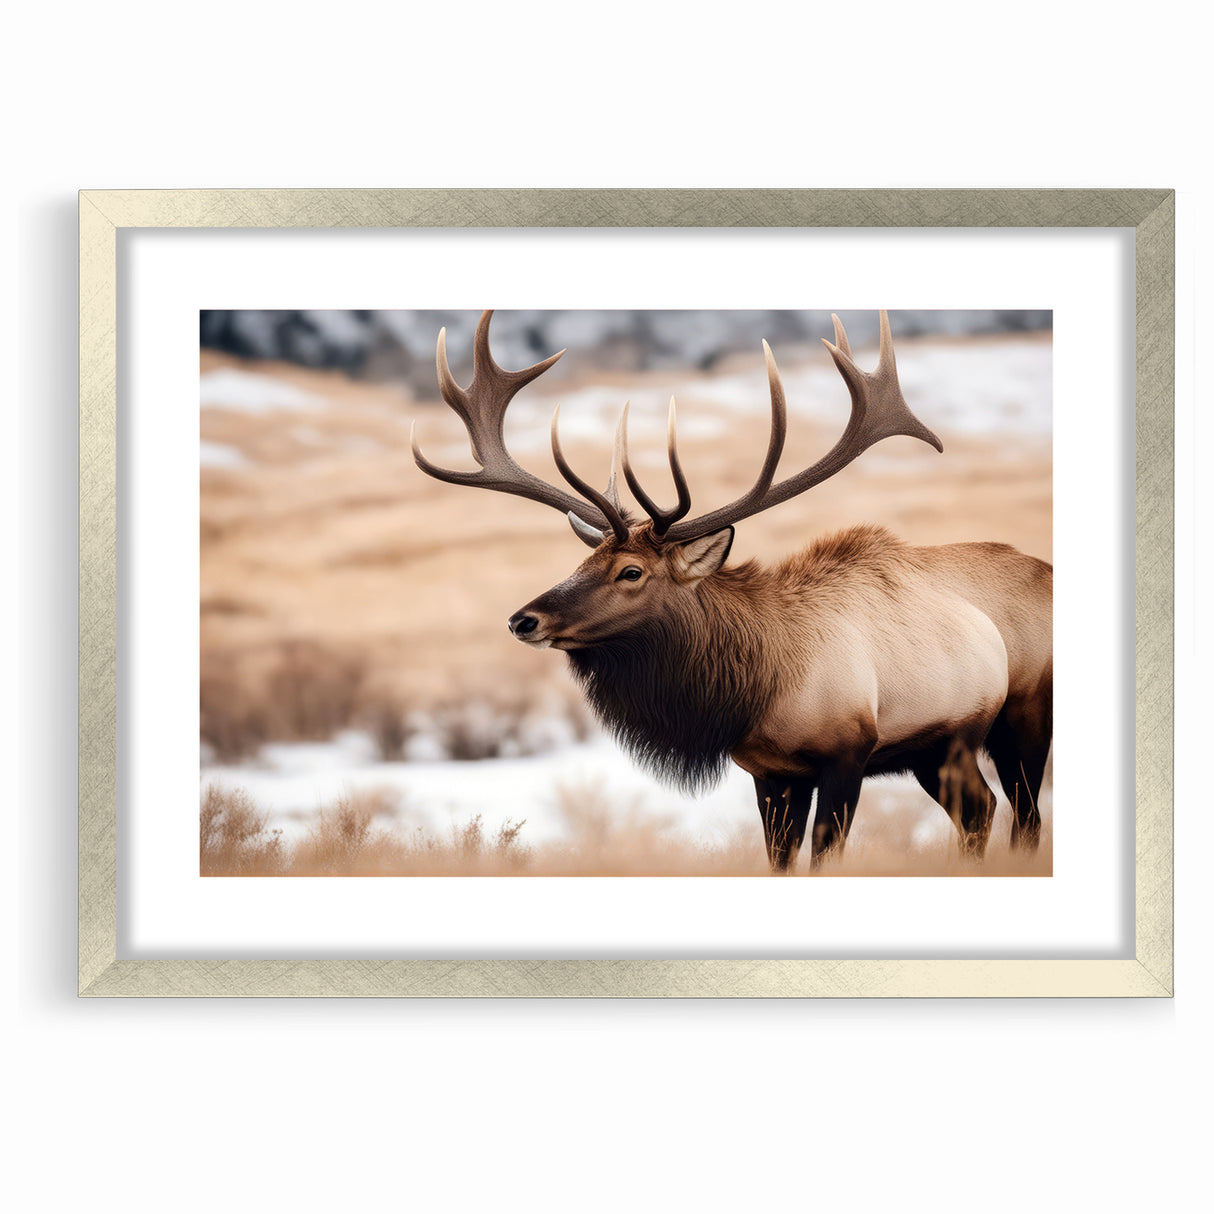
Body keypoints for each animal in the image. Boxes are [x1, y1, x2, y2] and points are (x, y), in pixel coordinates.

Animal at [412, 311, 1052, 871]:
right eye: (585, 558)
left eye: (631, 572)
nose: (524, 619)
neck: (758, 691)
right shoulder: (771, 772)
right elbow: (779, 862)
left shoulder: (849, 751)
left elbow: (825, 856)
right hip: (937, 749)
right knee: (982, 814)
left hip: (1019, 716)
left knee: (1023, 815)